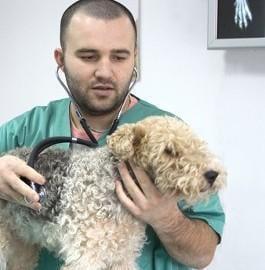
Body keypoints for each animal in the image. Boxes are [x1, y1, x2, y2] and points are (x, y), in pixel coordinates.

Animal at [0, 116, 225, 270]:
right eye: (168, 150)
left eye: (196, 142)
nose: (212, 174)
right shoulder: (86, 255)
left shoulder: (121, 255)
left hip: (22, 244)